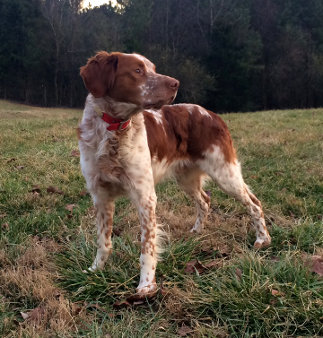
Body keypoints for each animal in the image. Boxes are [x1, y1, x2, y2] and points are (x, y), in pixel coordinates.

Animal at [79, 51, 274, 298]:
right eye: (137, 70)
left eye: (153, 68)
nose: (176, 83)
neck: (113, 130)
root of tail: (212, 114)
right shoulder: (100, 195)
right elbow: (103, 242)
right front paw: (96, 270)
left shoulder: (145, 196)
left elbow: (147, 246)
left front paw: (146, 285)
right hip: (186, 178)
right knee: (205, 200)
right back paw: (197, 231)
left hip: (224, 174)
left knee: (253, 203)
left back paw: (262, 239)